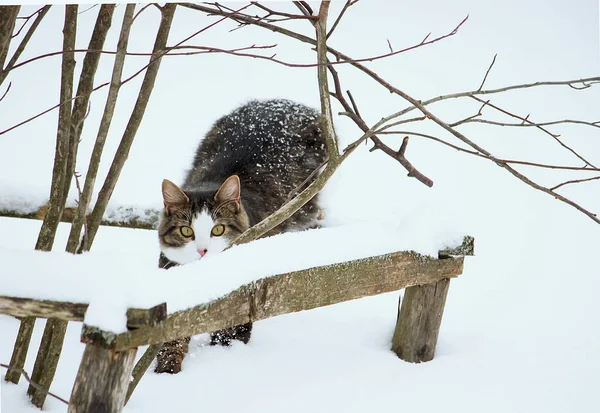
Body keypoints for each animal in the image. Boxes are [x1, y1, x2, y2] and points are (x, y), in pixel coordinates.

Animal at [152, 97, 326, 374]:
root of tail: (287, 103)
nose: (203, 250)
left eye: (218, 230)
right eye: (186, 231)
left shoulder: (244, 294)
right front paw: (167, 371)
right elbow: (172, 336)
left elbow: (231, 332)